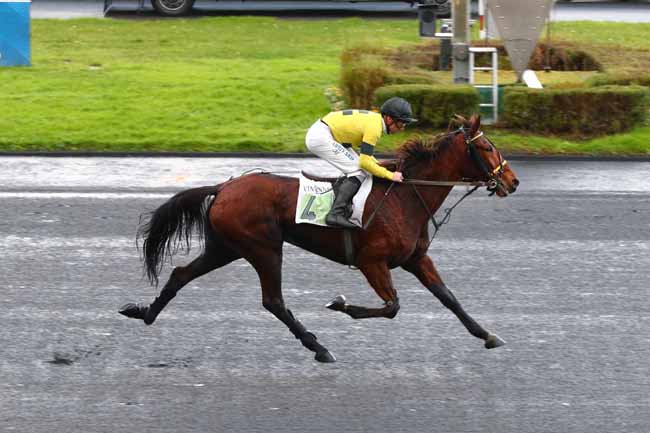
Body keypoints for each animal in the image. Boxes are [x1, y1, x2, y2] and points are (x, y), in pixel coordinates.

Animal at [120, 114, 516, 362]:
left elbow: (448, 297)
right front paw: (340, 304)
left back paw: (145, 313)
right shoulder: (372, 262)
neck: (405, 197)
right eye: (486, 148)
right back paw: (318, 347)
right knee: (273, 301)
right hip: (263, 248)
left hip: (226, 247)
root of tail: (223, 187)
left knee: (180, 274)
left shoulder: (415, 259)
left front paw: (487, 335)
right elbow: (392, 307)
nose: (511, 181)